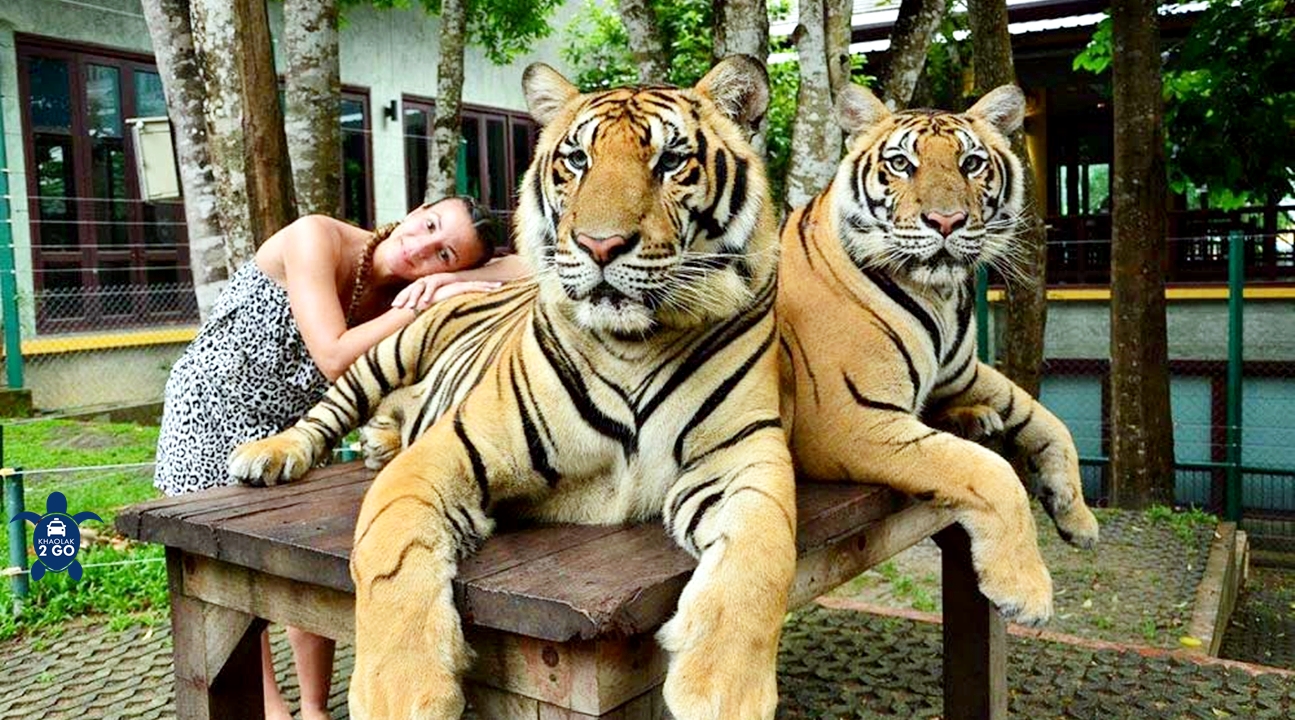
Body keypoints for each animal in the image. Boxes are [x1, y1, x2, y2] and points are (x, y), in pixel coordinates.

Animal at [228, 56, 796, 719]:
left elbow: (762, 556)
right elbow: (390, 556)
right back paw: (271, 455)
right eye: (576, 160)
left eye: (671, 160)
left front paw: (722, 690)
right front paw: (400, 693)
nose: (600, 245)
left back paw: (376, 445)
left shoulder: (743, 455)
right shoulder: (449, 449)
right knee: (327, 411)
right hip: (389, 351)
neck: (633, 344)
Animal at [776, 81, 1100, 626]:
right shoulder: (851, 419)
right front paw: (1025, 590)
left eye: (971, 163)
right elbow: (988, 471)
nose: (946, 221)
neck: (941, 296)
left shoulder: (963, 372)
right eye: (901, 164)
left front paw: (1076, 515)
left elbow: (1049, 421)